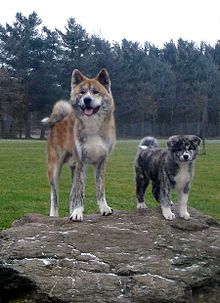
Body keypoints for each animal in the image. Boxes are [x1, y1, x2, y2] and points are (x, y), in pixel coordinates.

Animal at [42, 68, 116, 221]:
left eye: (95, 92)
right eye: (82, 92)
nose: (87, 99)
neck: (92, 127)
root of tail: (59, 120)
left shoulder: (101, 162)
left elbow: (100, 189)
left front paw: (104, 208)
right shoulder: (82, 163)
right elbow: (80, 193)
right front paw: (77, 212)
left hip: (73, 167)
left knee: (71, 194)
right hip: (54, 168)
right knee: (54, 196)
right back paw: (54, 215)